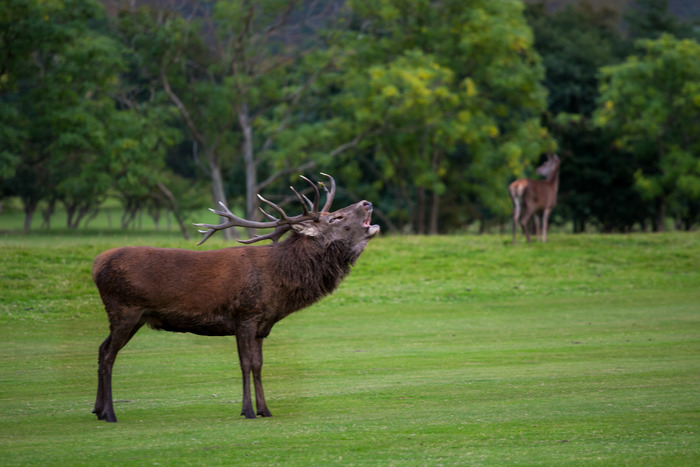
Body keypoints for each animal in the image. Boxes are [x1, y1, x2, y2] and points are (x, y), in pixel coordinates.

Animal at [91, 173, 380, 422]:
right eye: (335, 218)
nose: (367, 203)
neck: (279, 285)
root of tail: (96, 264)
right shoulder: (244, 316)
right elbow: (245, 364)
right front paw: (248, 411)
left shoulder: (262, 325)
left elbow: (259, 365)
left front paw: (265, 409)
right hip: (125, 308)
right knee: (109, 354)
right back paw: (110, 413)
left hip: (134, 316)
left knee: (102, 347)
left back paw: (97, 409)